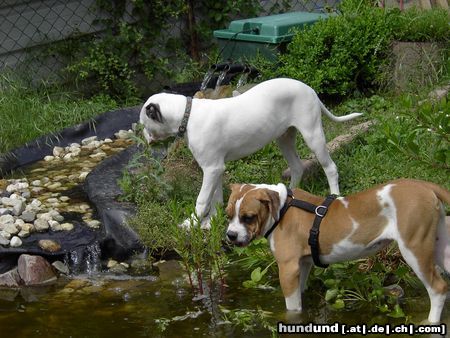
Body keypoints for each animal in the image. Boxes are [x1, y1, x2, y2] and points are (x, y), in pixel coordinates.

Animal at [140, 78, 362, 227]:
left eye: (144, 122)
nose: (143, 137)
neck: (188, 114)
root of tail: (309, 89)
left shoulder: (211, 169)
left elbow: (203, 200)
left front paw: (190, 224)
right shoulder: (215, 168)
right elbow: (216, 198)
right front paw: (211, 223)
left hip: (312, 134)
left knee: (330, 167)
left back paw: (335, 195)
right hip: (284, 138)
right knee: (297, 167)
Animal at [227, 178, 450, 324]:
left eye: (248, 217)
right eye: (228, 215)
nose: (230, 235)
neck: (282, 208)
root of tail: (423, 185)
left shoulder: (288, 269)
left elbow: (292, 308)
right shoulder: (302, 265)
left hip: (415, 249)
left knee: (438, 289)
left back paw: (430, 322)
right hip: (440, 247)